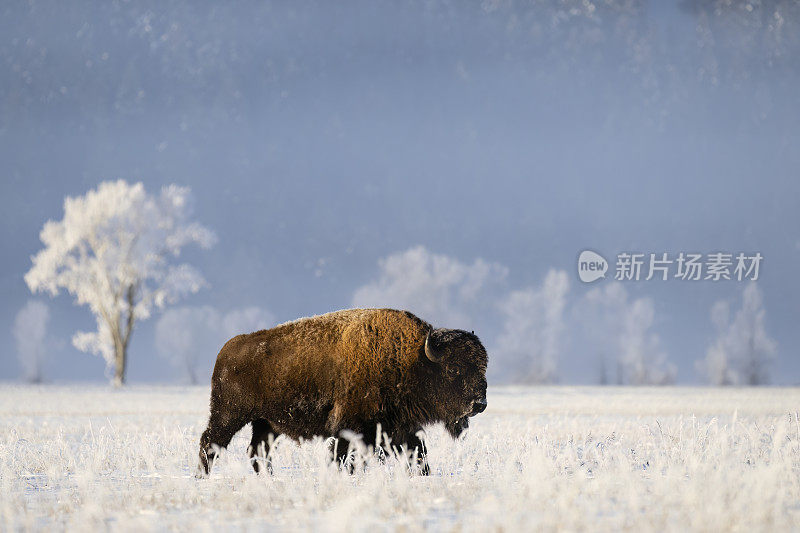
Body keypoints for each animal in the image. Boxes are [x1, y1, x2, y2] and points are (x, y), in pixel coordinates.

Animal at [198, 306, 488, 476]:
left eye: (483, 367)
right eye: (454, 369)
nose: (479, 404)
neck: (414, 359)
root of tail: (226, 351)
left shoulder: (402, 430)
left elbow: (420, 457)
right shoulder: (350, 428)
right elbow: (342, 457)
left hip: (266, 423)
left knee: (257, 452)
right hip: (229, 415)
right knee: (210, 442)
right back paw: (202, 476)